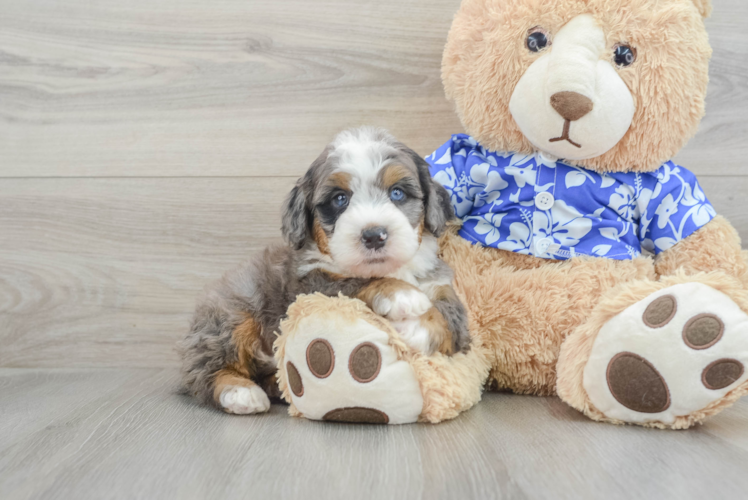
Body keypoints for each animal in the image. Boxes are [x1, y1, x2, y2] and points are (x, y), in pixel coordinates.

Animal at [180, 128, 468, 414]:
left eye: (397, 193)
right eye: (340, 199)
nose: (374, 235)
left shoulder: (438, 283)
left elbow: (452, 316)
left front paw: (417, 328)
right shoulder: (308, 287)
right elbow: (352, 283)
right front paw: (400, 294)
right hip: (231, 314)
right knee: (205, 372)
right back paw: (241, 392)